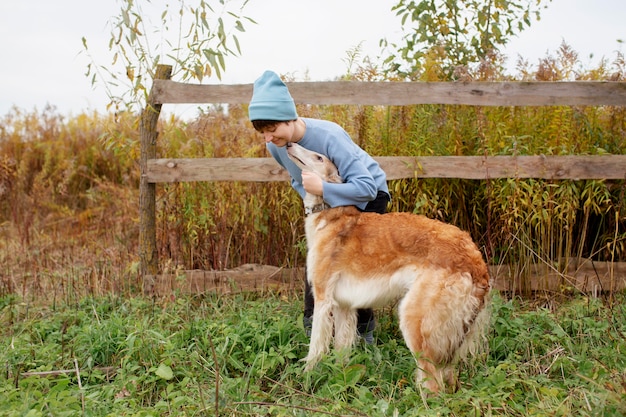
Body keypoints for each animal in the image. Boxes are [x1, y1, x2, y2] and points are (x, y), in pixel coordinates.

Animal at [286, 141, 490, 392]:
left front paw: (305, 378)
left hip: (414, 321)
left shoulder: (323, 300)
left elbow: (315, 348)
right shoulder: (344, 305)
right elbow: (341, 352)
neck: (329, 215)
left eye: (318, 157)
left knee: (433, 385)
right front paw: (340, 379)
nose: (289, 143)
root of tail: (476, 260)